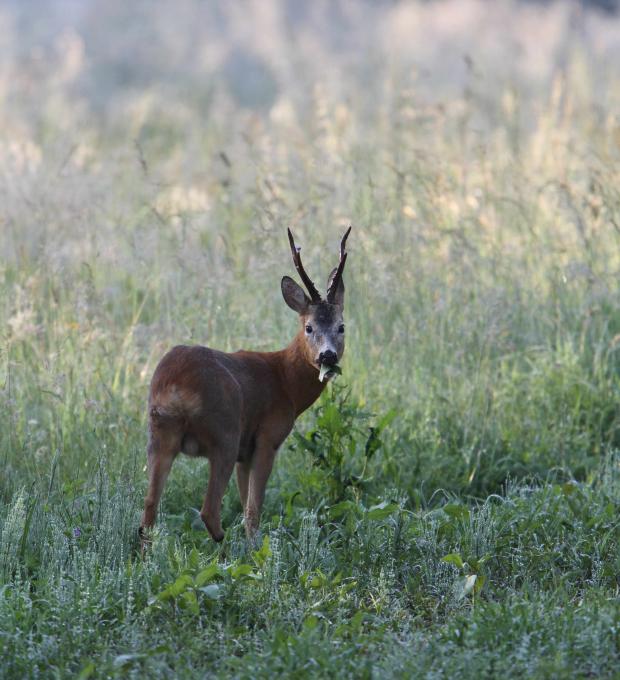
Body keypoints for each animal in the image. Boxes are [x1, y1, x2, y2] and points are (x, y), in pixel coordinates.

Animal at [142, 227, 352, 540]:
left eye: (341, 327)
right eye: (309, 327)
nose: (327, 355)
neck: (285, 381)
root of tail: (176, 387)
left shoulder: (245, 453)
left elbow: (244, 506)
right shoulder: (266, 437)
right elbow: (253, 511)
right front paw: (257, 549)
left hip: (160, 435)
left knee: (149, 508)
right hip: (225, 433)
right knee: (209, 511)